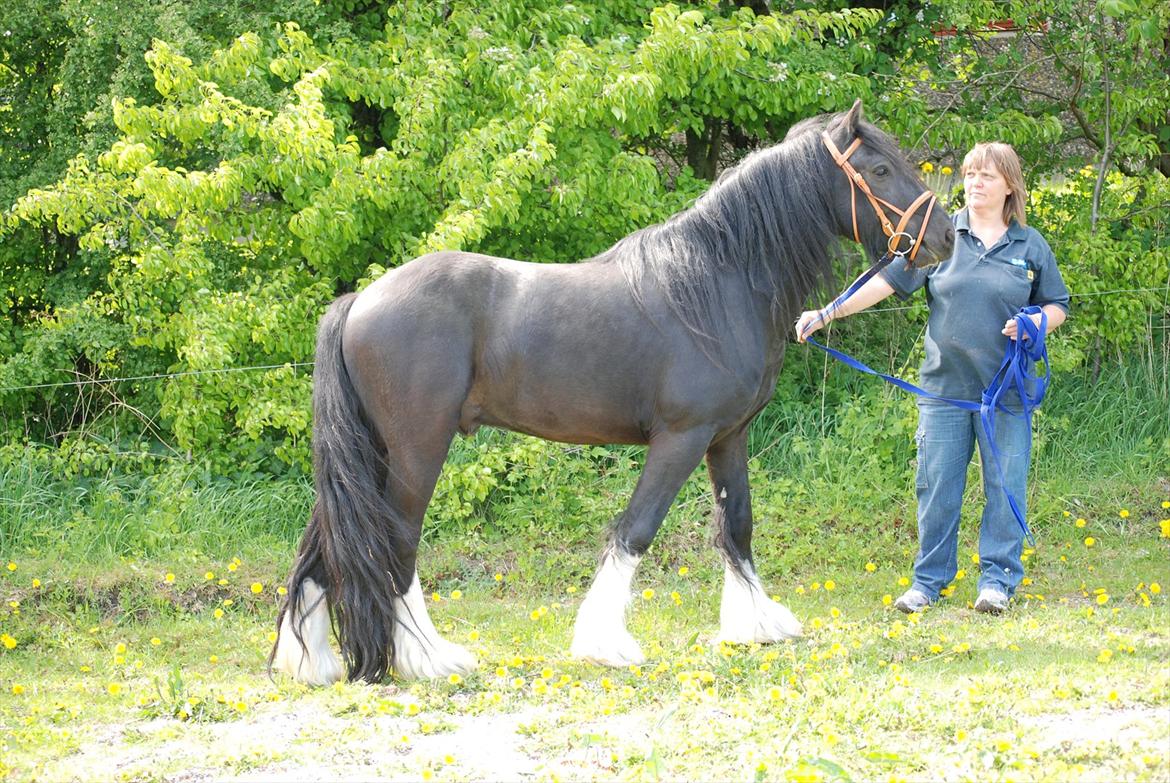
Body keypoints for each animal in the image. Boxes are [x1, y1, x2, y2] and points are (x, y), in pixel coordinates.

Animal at [271, 100, 950, 678]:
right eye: (880, 168)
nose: (944, 236)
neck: (717, 281)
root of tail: (360, 301)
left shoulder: (728, 436)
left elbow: (737, 525)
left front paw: (757, 624)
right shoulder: (681, 438)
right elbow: (636, 529)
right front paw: (604, 641)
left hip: (374, 450)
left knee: (325, 544)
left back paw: (310, 662)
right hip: (417, 448)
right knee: (397, 543)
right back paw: (430, 659)